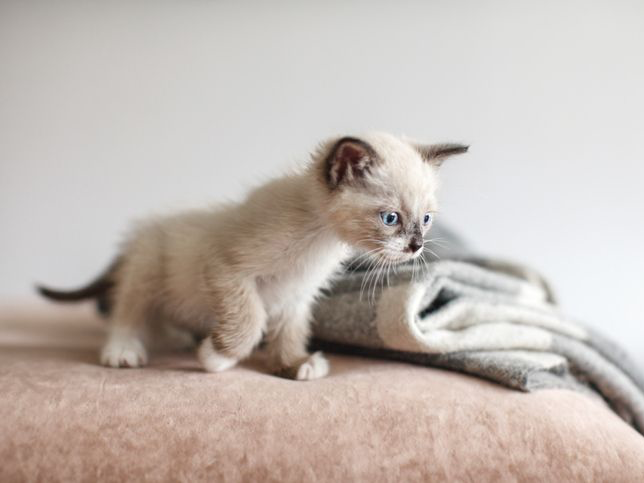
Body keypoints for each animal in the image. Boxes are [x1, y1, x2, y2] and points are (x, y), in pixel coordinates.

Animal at [37, 133, 466, 382]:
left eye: (426, 220)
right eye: (390, 218)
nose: (416, 246)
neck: (319, 236)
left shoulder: (297, 295)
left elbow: (290, 329)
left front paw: (293, 363)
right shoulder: (226, 268)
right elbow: (252, 319)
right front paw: (217, 357)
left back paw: (175, 338)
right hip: (146, 268)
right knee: (128, 310)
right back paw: (124, 350)